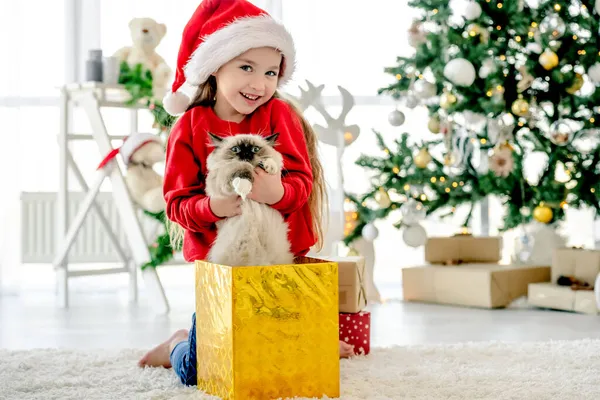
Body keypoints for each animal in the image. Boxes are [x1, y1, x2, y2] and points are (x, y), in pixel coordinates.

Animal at [203, 133, 294, 268]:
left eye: (255, 149)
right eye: (235, 149)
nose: (246, 154)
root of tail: (259, 263)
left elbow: (272, 160)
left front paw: (269, 167)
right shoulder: (221, 176)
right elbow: (240, 167)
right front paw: (244, 188)